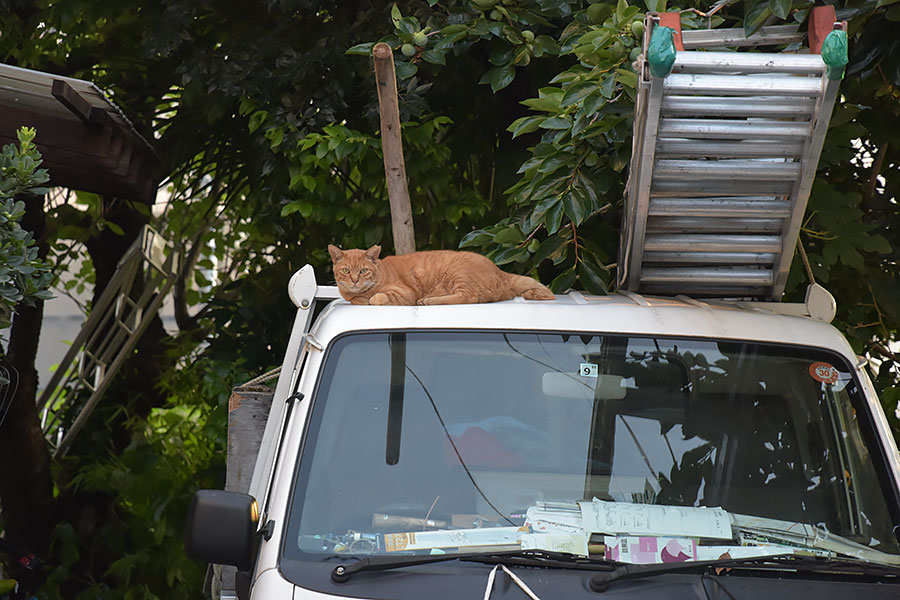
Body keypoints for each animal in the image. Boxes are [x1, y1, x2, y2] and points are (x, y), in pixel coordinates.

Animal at [330, 244, 556, 308]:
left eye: (363, 270)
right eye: (346, 271)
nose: (355, 280)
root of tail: (501, 272)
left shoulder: (404, 293)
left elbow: (379, 297)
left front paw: (372, 299)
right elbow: (356, 299)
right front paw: (361, 298)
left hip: (457, 274)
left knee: (468, 297)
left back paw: (428, 301)